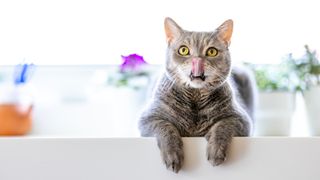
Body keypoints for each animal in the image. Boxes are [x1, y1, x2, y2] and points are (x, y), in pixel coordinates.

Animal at [139, 17, 256, 173]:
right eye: (183, 50)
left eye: (212, 51)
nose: (198, 61)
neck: (195, 98)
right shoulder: (148, 118)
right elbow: (165, 127)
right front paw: (172, 155)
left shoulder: (241, 119)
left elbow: (223, 125)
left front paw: (215, 150)